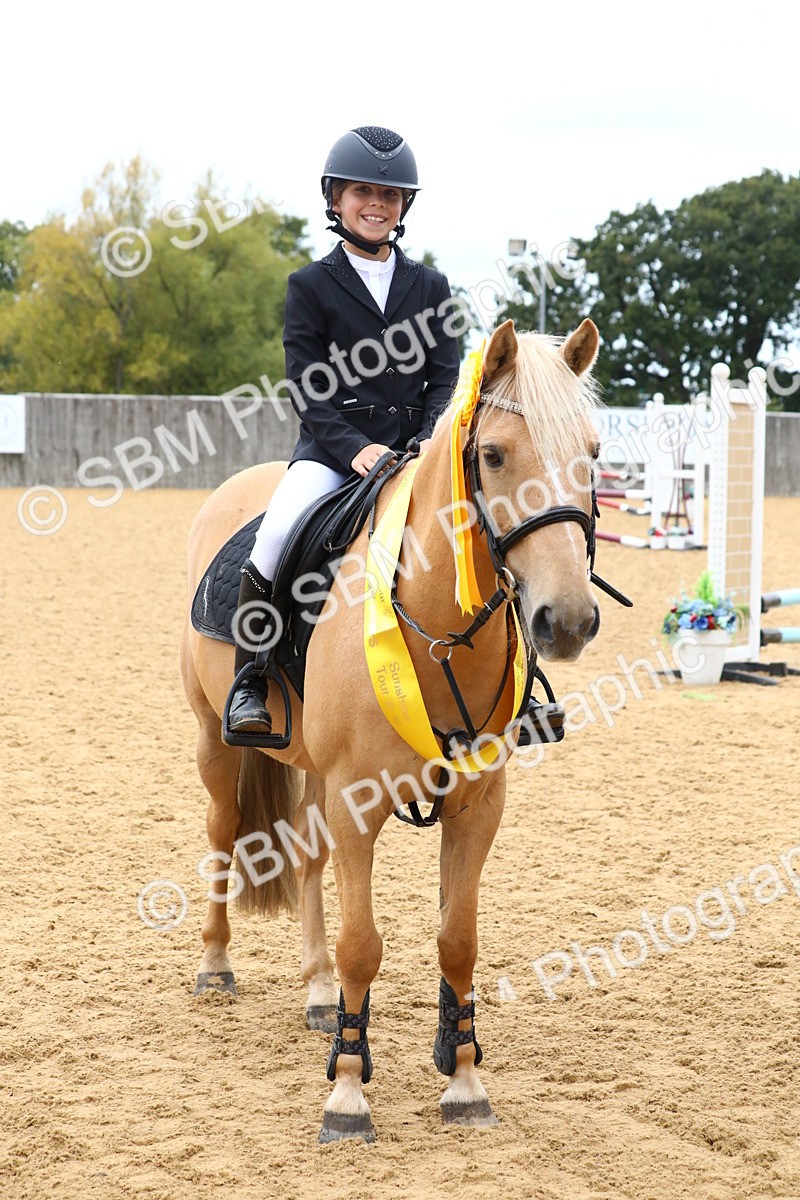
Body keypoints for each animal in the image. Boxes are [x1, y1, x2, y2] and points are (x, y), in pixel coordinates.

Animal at [179, 317, 604, 1142]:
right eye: (493, 455)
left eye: (594, 453)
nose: (566, 620)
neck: (439, 629)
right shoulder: (357, 800)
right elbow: (363, 946)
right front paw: (347, 1094)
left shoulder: (478, 802)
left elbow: (458, 940)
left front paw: (464, 1080)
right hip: (216, 737)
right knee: (222, 832)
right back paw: (215, 967)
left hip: (311, 765)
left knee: (307, 858)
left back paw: (316, 993)